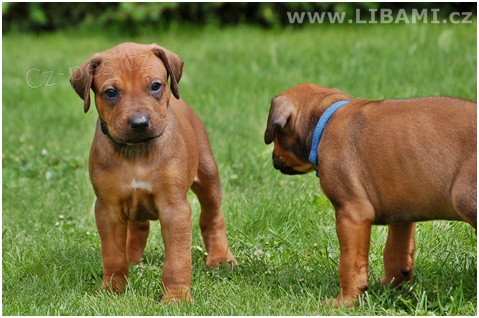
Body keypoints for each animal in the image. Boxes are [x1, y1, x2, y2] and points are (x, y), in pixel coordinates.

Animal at [71, 42, 236, 304]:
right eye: (110, 92)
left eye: (156, 86)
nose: (139, 123)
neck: (136, 151)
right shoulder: (108, 209)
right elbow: (112, 254)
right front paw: (112, 289)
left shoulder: (174, 208)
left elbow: (177, 259)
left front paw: (177, 297)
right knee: (139, 227)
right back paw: (132, 259)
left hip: (208, 175)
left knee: (212, 216)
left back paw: (221, 257)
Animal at [264, 83, 478, 306]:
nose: (273, 158)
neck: (326, 119)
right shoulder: (402, 214)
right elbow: (396, 252)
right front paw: (392, 286)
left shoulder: (352, 214)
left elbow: (349, 263)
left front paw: (345, 301)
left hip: (465, 199)